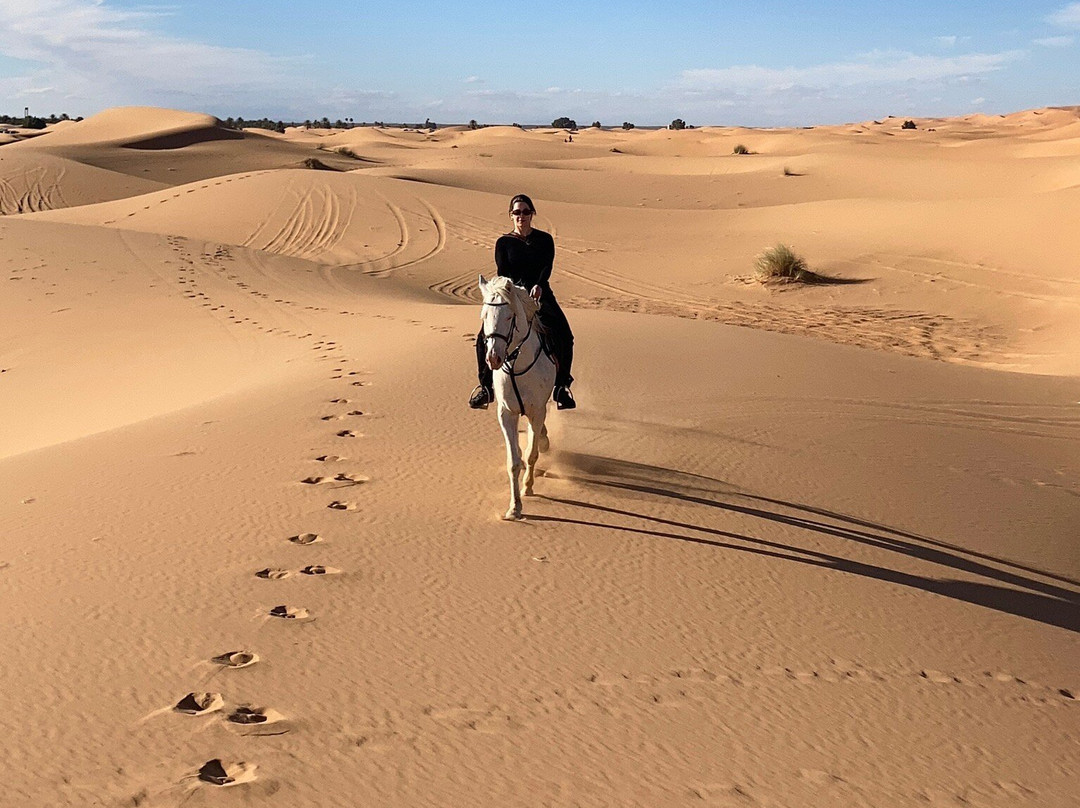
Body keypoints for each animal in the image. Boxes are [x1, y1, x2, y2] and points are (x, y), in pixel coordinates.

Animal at [478, 275, 556, 520]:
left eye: (509, 316)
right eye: (485, 315)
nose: (493, 358)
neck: (516, 365)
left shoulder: (536, 411)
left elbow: (532, 454)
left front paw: (528, 487)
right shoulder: (507, 413)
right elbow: (513, 461)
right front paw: (514, 508)